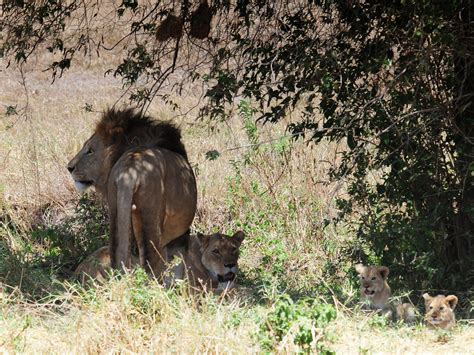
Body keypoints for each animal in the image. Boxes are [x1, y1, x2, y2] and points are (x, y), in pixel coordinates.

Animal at [66, 108, 196, 278]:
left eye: (90, 151)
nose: (69, 168)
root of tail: (129, 170)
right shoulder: (179, 236)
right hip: (151, 221)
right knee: (151, 263)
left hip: (116, 213)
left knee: (118, 256)